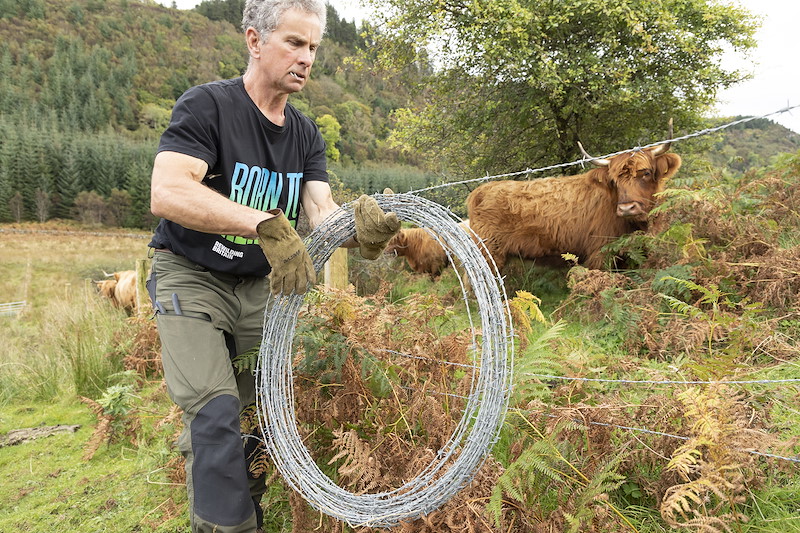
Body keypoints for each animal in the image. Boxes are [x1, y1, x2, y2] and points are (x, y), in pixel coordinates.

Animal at [466, 138, 681, 272]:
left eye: (646, 173)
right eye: (613, 181)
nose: (627, 208)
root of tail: (480, 191)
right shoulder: (601, 250)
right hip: (487, 251)